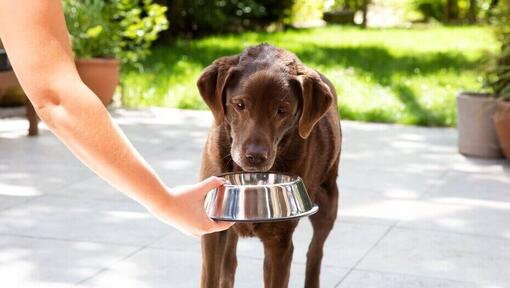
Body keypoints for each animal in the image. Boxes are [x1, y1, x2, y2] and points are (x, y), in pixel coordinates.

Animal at [197, 43, 340, 288]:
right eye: (240, 105)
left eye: (282, 110)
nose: (255, 157)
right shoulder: (212, 230)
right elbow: (212, 275)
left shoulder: (279, 242)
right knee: (229, 264)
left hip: (328, 201)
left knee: (315, 251)